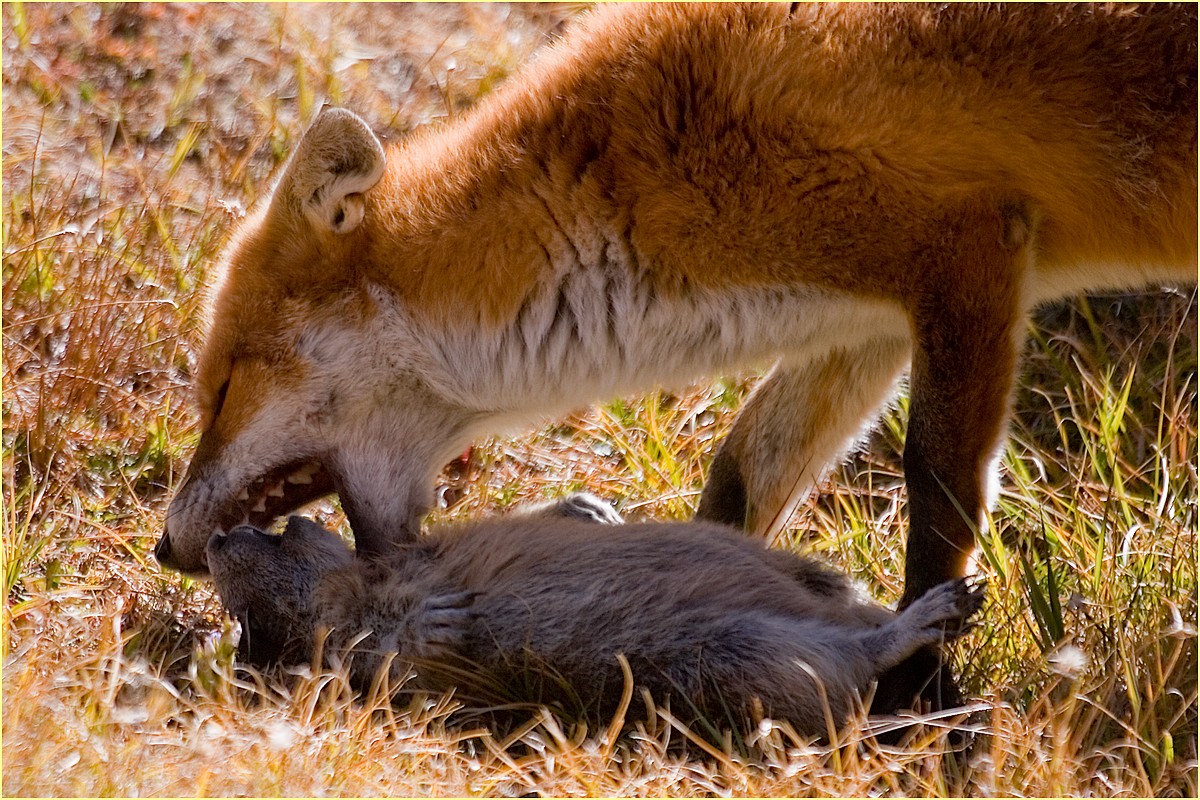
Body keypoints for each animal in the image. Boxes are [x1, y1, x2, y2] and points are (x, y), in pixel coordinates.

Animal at [157, 3, 1196, 610]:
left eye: (223, 389)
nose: (164, 547)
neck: (647, 161)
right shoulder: (866, 313)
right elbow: (744, 475)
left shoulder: (970, 251)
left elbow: (938, 496)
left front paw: (925, 704)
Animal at [205, 498, 986, 736]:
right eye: (252, 628)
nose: (214, 538)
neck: (368, 586)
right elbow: (381, 677)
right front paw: (433, 625)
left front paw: (586, 509)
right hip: (739, 651)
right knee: (852, 661)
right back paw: (933, 613)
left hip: (802, 573)